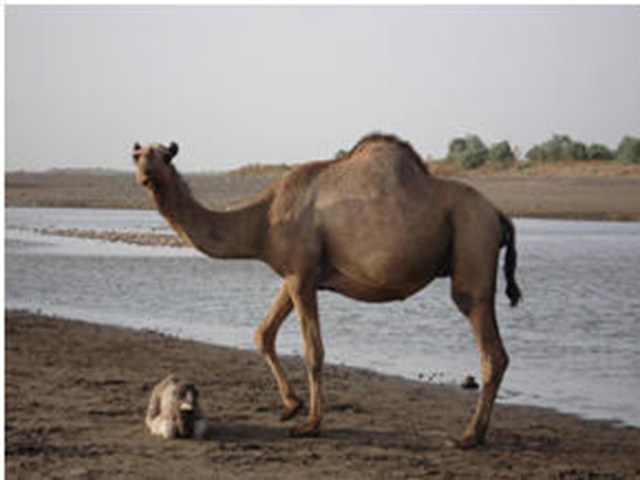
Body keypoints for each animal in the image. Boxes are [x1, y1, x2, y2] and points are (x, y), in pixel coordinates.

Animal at [133, 134, 521, 448]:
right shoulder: (297, 274)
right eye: (136, 156)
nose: (145, 176)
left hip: (472, 242)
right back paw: (475, 433)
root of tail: (499, 213)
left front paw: (310, 425)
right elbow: (263, 333)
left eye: (163, 156)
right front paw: (291, 407)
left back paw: (469, 436)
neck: (264, 220)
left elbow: (313, 351)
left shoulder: (300, 275)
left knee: (489, 345)